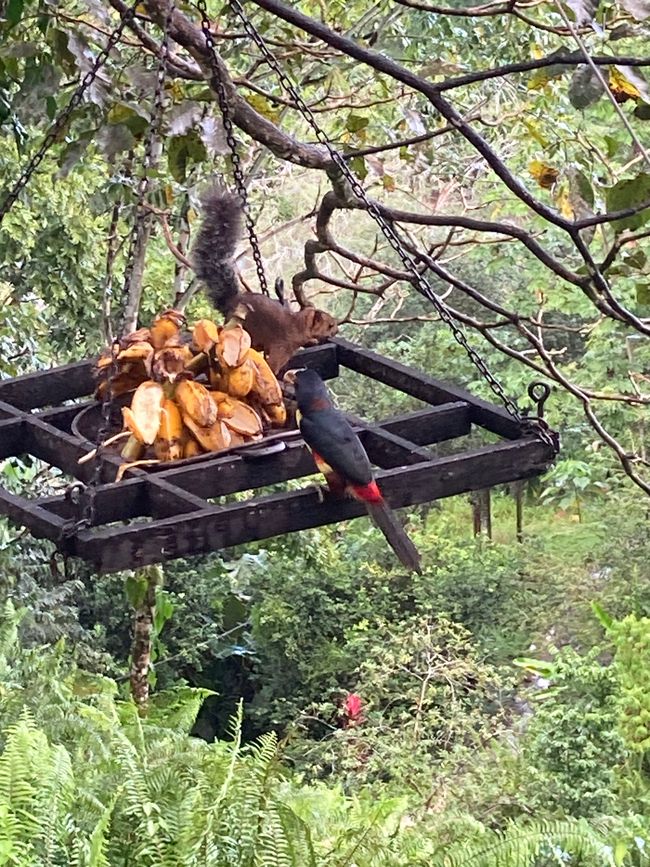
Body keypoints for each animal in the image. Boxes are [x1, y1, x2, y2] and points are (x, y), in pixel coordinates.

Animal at [192, 189, 338, 373]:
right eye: (329, 325)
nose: (336, 331)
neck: (297, 324)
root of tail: (231, 301)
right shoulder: (282, 346)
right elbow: (273, 365)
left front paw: (313, 341)